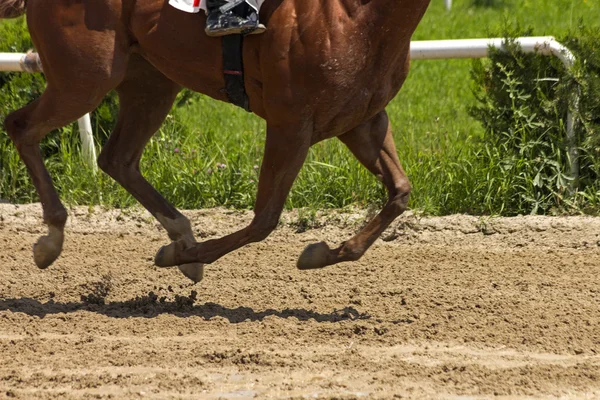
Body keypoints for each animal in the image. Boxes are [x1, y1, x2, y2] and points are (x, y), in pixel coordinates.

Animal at [0, 0, 432, 282]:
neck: (354, 14)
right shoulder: (290, 124)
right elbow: (264, 221)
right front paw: (182, 256)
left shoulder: (363, 121)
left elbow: (400, 192)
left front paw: (323, 252)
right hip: (85, 77)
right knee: (20, 126)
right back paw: (52, 239)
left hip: (150, 81)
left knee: (117, 158)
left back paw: (179, 230)